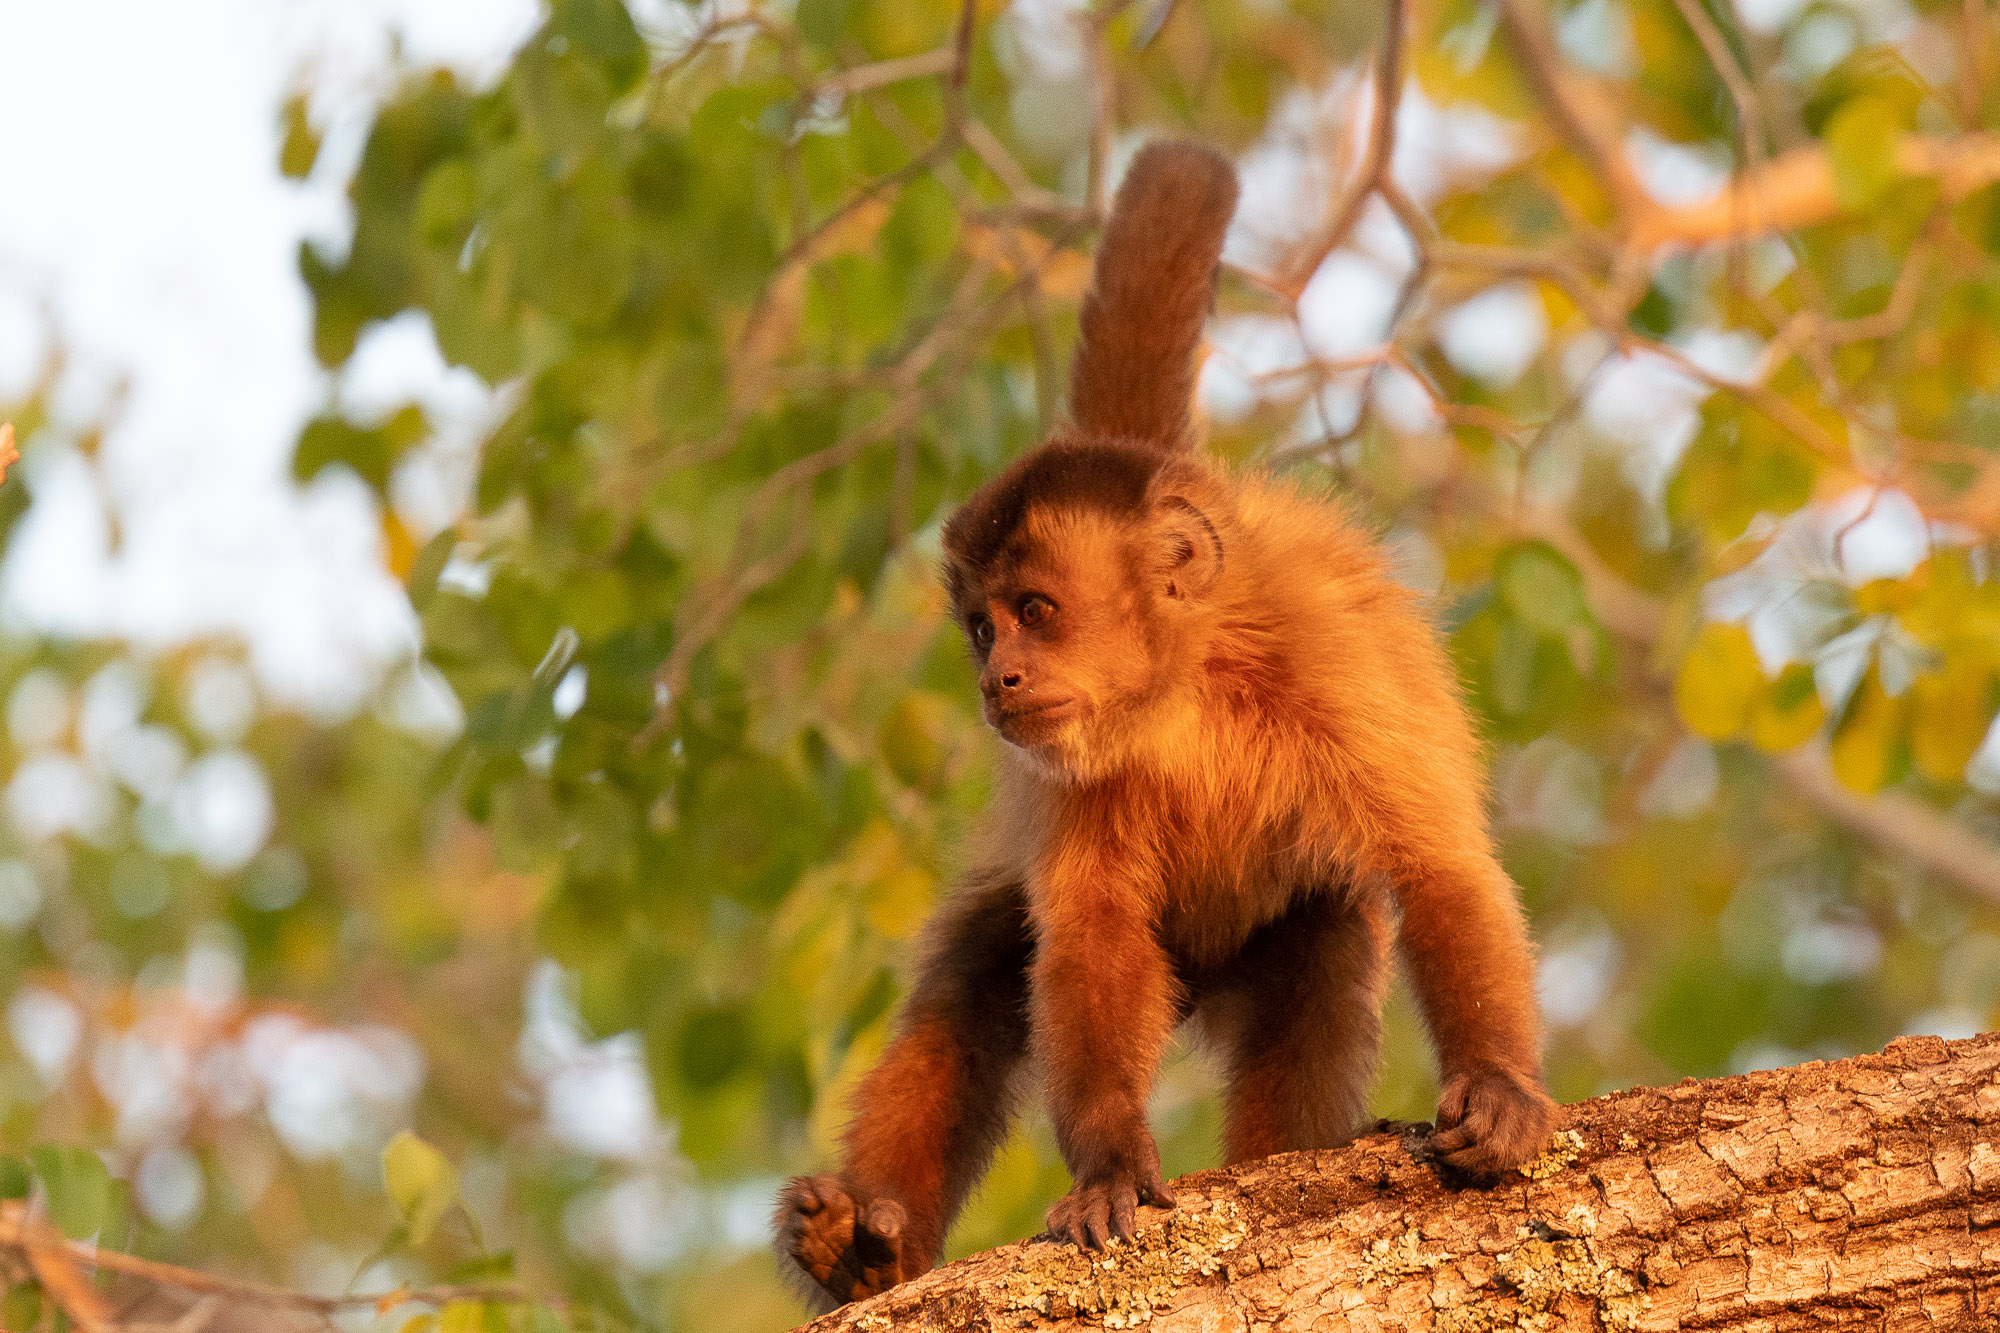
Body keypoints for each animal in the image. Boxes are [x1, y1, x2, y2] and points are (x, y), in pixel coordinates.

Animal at [772, 137, 1552, 1304]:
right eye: (979, 627)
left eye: (1036, 612)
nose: (998, 678)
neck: (1185, 688)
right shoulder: (1063, 767)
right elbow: (1088, 932)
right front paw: (1106, 1168)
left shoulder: (1331, 659)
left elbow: (1437, 866)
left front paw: (1497, 1082)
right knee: (982, 975)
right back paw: (863, 1251)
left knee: (1319, 952)